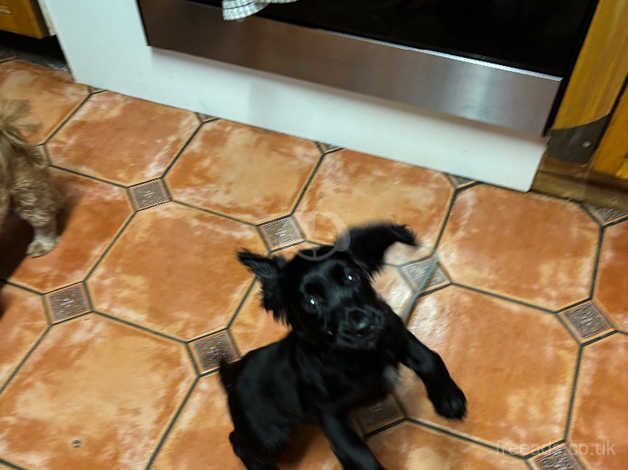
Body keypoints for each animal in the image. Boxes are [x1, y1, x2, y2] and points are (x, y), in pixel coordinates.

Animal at [221, 222, 466, 468]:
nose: (363, 327)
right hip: (269, 437)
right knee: (236, 441)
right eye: (311, 302)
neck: (360, 356)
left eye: (351, 276)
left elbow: (429, 358)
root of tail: (233, 373)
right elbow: (360, 457)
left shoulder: (394, 330)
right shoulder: (330, 416)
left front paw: (448, 397)